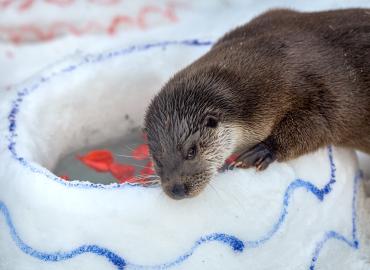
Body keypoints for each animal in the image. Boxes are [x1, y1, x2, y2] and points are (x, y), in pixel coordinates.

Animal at [143, 8, 370, 199]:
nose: (176, 189)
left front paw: (264, 150)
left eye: (191, 151)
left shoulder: (321, 93)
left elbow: (320, 126)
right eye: (157, 160)